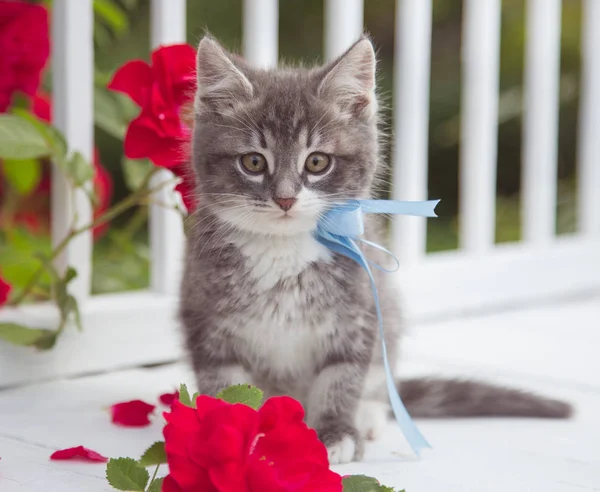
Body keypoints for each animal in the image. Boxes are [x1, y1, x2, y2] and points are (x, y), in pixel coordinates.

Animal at [179, 35, 572, 466]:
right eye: (253, 162)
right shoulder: (206, 316)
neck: (284, 250)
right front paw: (227, 436)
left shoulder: (359, 311)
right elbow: (226, 386)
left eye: (316, 162)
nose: (284, 198)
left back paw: (367, 414)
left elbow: (342, 377)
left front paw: (336, 433)